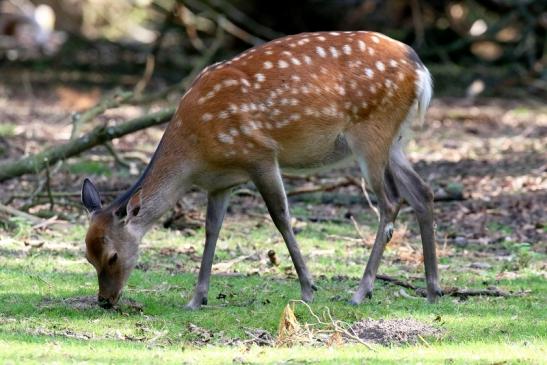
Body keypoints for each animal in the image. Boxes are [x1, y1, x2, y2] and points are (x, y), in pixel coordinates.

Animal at [81, 30, 444, 310]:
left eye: (112, 256)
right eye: (87, 257)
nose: (105, 300)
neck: (195, 154)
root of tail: (421, 70)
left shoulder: (260, 155)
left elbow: (281, 217)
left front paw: (308, 289)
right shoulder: (220, 183)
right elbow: (211, 230)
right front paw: (197, 299)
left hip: (371, 132)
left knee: (391, 202)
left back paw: (361, 291)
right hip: (396, 140)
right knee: (422, 192)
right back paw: (433, 290)